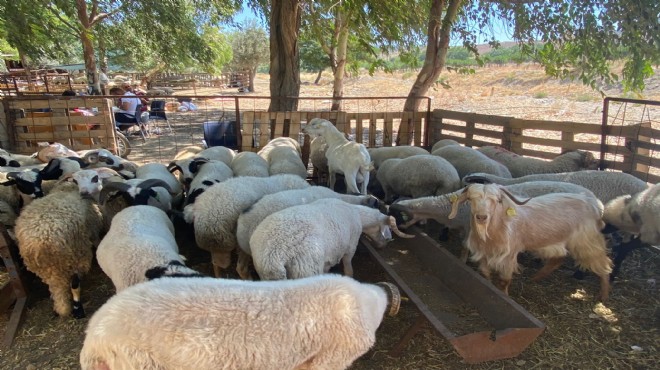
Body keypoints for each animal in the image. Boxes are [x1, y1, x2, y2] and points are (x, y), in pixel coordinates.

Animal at [14, 178, 105, 316]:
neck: (66, 188)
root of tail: (40, 243)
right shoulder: (93, 229)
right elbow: (96, 241)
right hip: (76, 256)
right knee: (74, 283)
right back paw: (75, 308)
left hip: (48, 270)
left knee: (57, 289)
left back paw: (61, 308)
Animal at [250, 198, 410, 278]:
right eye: (389, 230)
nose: (384, 246)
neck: (358, 215)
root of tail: (274, 255)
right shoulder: (350, 247)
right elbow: (348, 267)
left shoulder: (329, 257)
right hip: (306, 269)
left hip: (265, 273)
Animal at [446, 182, 612, 300]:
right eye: (471, 199)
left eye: (497, 200)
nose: (481, 217)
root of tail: (594, 204)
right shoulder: (484, 253)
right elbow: (485, 274)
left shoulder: (508, 256)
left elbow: (504, 280)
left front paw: (505, 297)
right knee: (558, 259)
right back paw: (535, 278)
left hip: (587, 241)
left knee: (603, 264)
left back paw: (603, 295)